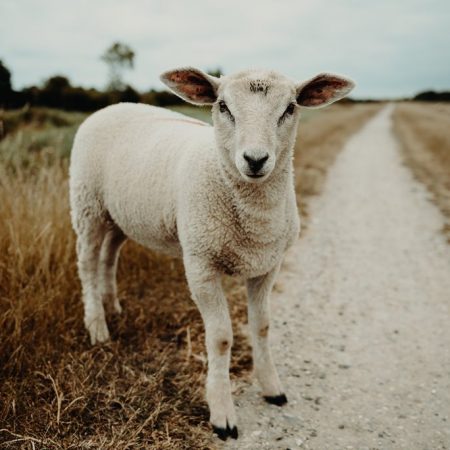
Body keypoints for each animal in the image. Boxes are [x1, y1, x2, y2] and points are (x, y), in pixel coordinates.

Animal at [68, 68, 354, 442]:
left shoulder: (268, 266)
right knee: (87, 262)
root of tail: (112, 106)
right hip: (87, 203)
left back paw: (111, 306)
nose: (255, 159)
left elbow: (262, 326)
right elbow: (220, 339)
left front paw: (272, 387)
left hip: (119, 214)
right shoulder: (200, 264)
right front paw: (222, 414)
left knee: (109, 255)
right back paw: (97, 325)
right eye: (222, 106)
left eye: (290, 108)